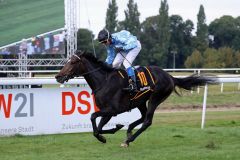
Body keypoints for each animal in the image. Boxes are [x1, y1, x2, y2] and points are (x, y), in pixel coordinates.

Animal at [55, 51, 216, 148]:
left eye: (73, 62)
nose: (58, 76)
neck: (103, 82)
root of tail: (170, 76)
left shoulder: (112, 110)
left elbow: (93, 117)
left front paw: (108, 134)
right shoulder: (107, 112)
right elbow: (98, 128)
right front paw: (112, 131)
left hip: (155, 98)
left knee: (147, 121)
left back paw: (128, 140)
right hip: (140, 102)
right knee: (143, 117)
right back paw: (129, 130)